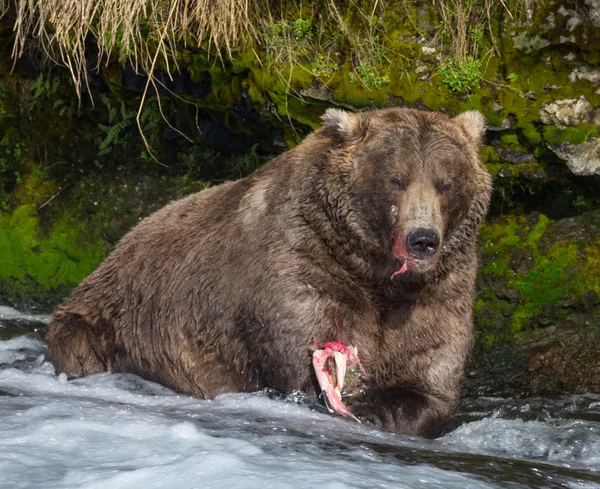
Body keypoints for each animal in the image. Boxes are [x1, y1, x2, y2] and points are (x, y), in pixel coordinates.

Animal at [45, 108, 492, 436]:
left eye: (445, 183)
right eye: (396, 180)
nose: (422, 239)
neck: (375, 274)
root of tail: (119, 242)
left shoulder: (437, 290)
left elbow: (429, 375)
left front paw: (383, 405)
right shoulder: (302, 260)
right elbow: (301, 347)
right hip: (112, 316)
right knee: (80, 346)